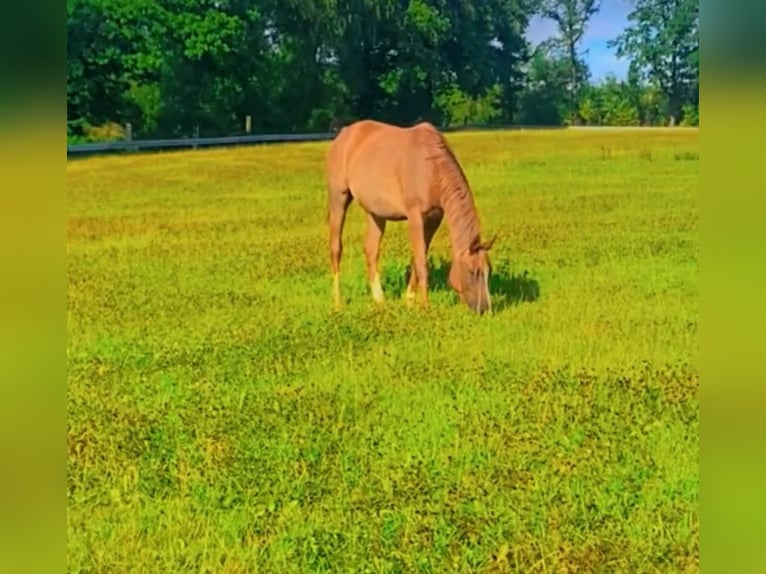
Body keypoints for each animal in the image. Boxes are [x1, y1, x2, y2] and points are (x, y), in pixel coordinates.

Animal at [325, 119, 497, 314]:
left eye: (489, 271)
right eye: (472, 272)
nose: (485, 309)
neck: (430, 165)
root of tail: (344, 134)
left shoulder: (434, 219)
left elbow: (418, 257)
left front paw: (410, 301)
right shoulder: (416, 217)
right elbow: (422, 262)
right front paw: (425, 306)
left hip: (376, 213)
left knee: (371, 250)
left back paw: (380, 300)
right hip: (338, 198)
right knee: (336, 248)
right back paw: (338, 303)